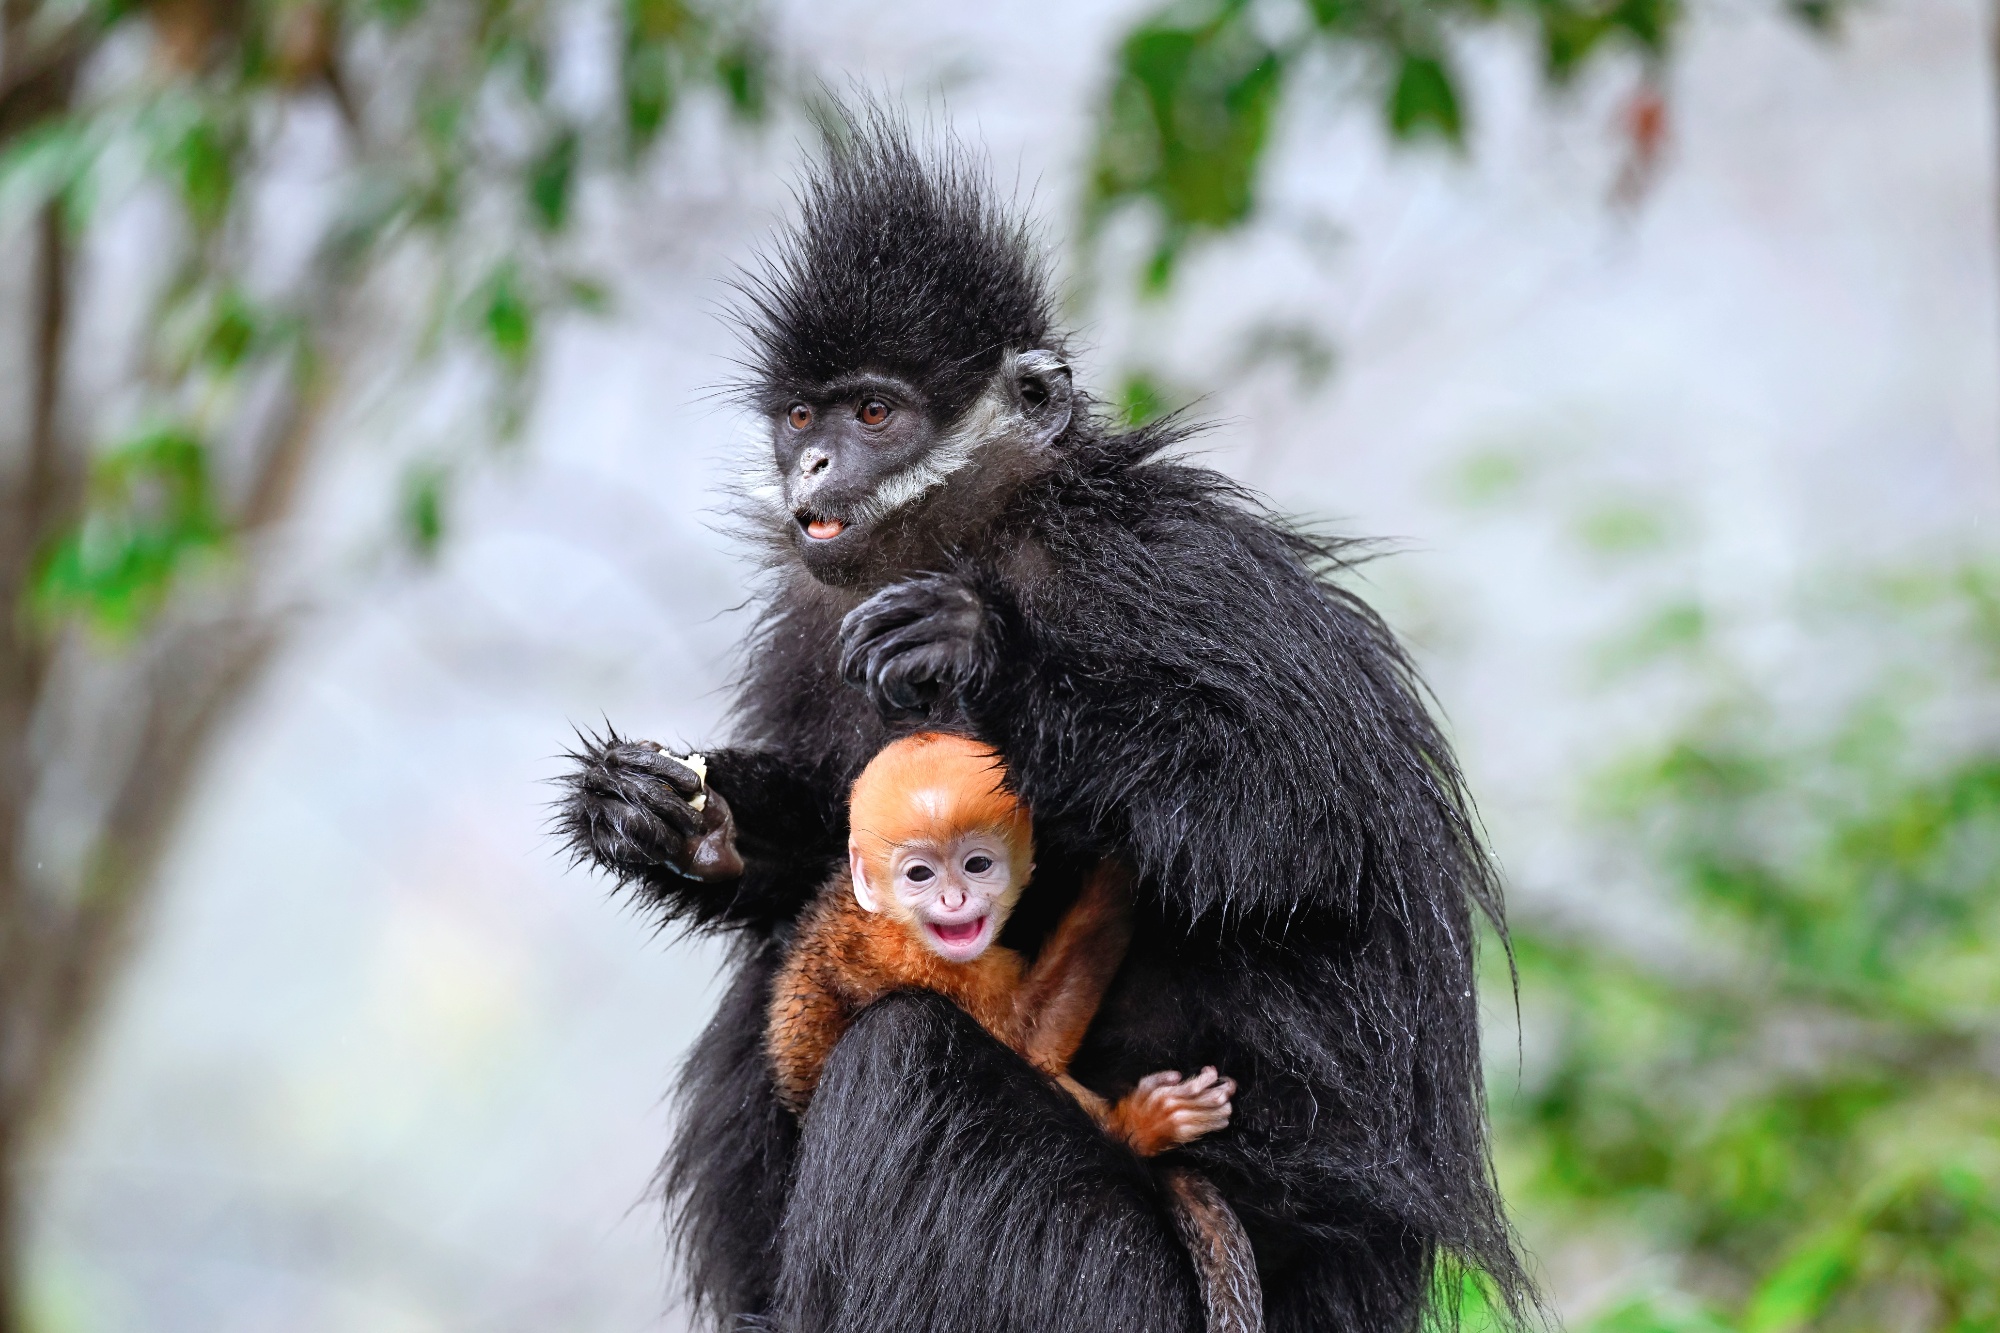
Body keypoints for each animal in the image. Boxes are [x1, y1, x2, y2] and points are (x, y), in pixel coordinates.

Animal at [558, 105, 1534, 1333]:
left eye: (874, 411)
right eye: (800, 416)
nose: (815, 461)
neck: (976, 532)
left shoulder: (1164, 562)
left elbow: (1305, 825)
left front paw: (977, 651)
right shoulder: (811, 617)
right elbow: (828, 841)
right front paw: (673, 821)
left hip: (1102, 1284)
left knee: (905, 1064)